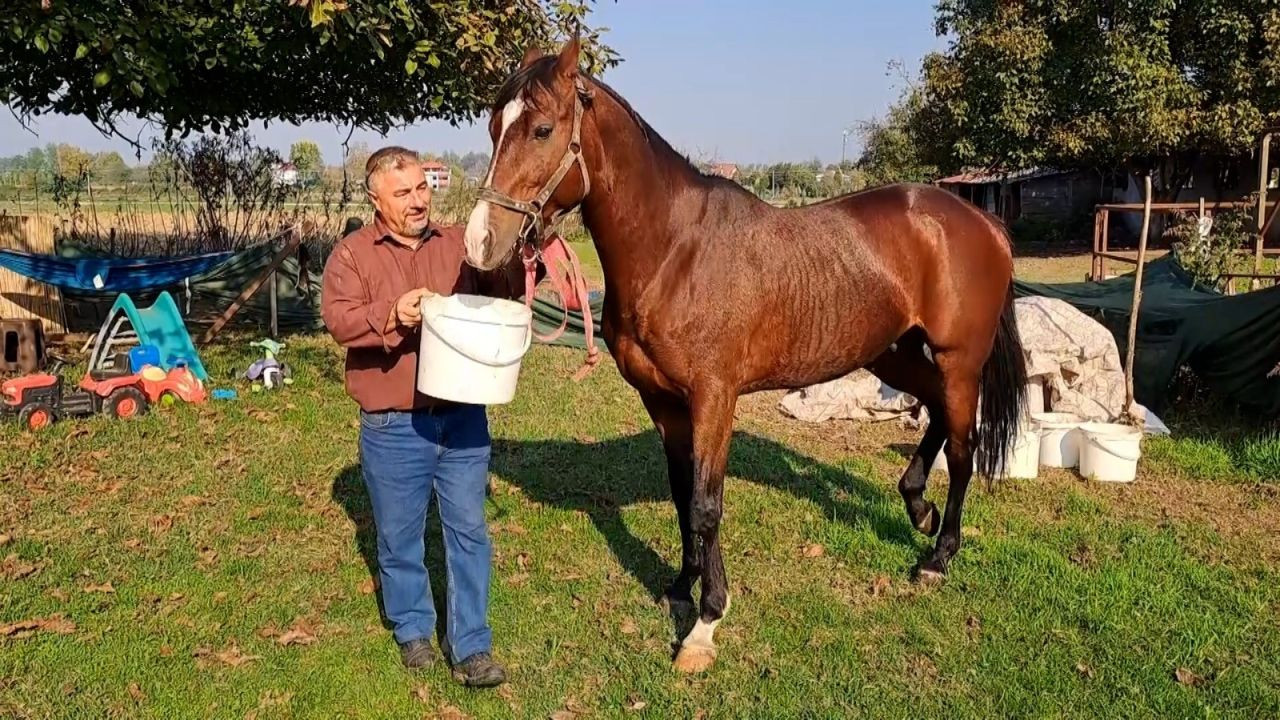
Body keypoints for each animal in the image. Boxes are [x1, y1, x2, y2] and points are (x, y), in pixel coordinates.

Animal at [465, 36, 1024, 671]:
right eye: (493, 127)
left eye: (541, 129)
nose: (481, 241)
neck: (674, 251)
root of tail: (984, 221)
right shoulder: (663, 401)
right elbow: (683, 495)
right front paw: (681, 587)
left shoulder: (714, 398)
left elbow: (707, 505)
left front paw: (706, 622)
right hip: (892, 352)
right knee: (935, 414)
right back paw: (917, 508)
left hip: (958, 360)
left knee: (963, 447)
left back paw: (937, 556)